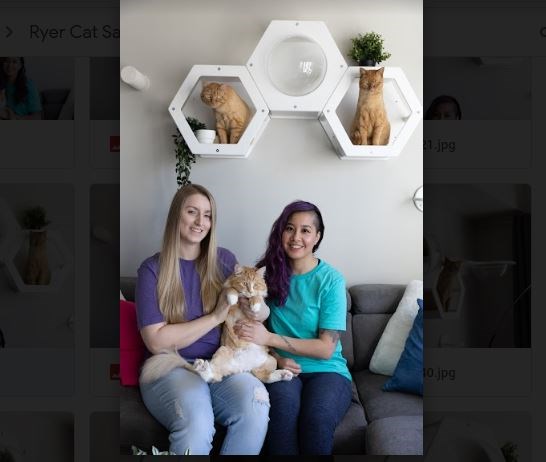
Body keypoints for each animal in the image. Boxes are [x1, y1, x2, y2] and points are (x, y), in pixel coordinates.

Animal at [140, 266, 294, 384]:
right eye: (244, 283)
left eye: (255, 284)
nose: (250, 290)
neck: (243, 301)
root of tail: (244, 367)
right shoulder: (225, 294)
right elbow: (231, 290)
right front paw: (233, 298)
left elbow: (258, 297)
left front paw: (255, 305)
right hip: (222, 351)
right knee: (214, 376)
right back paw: (202, 367)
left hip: (271, 360)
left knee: (264, 377)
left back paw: (284, 374)